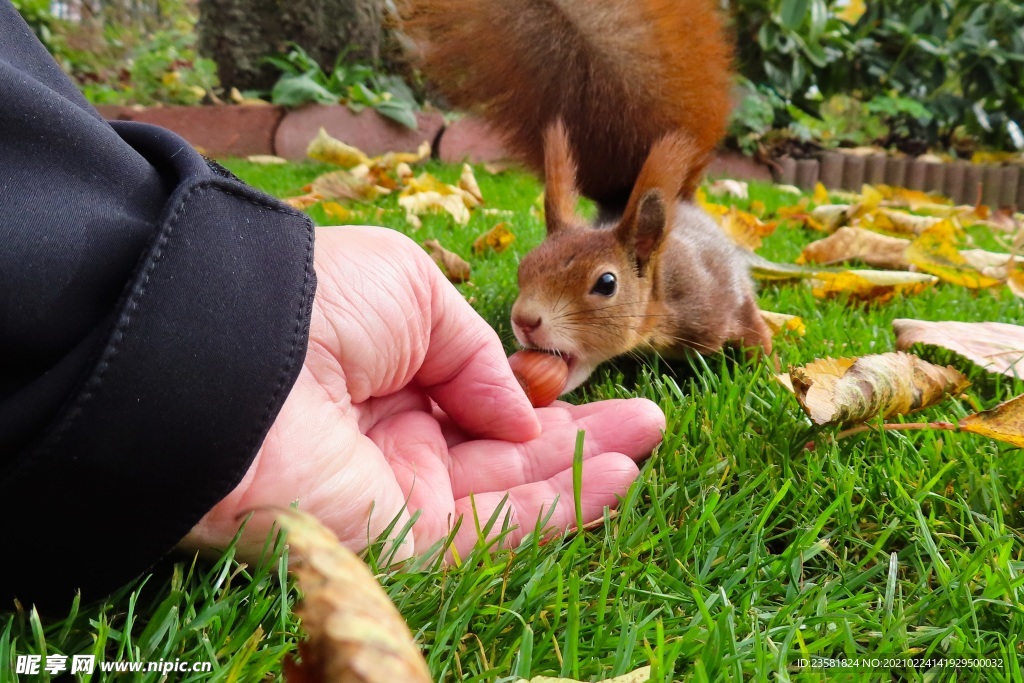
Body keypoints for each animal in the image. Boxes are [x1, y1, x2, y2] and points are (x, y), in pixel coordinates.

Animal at [403, 0, 770, 393]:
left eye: (607, 284)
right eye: (524, 267)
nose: (525, 320)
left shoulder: (718, 303)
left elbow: (756, 329)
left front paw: (771, 373)